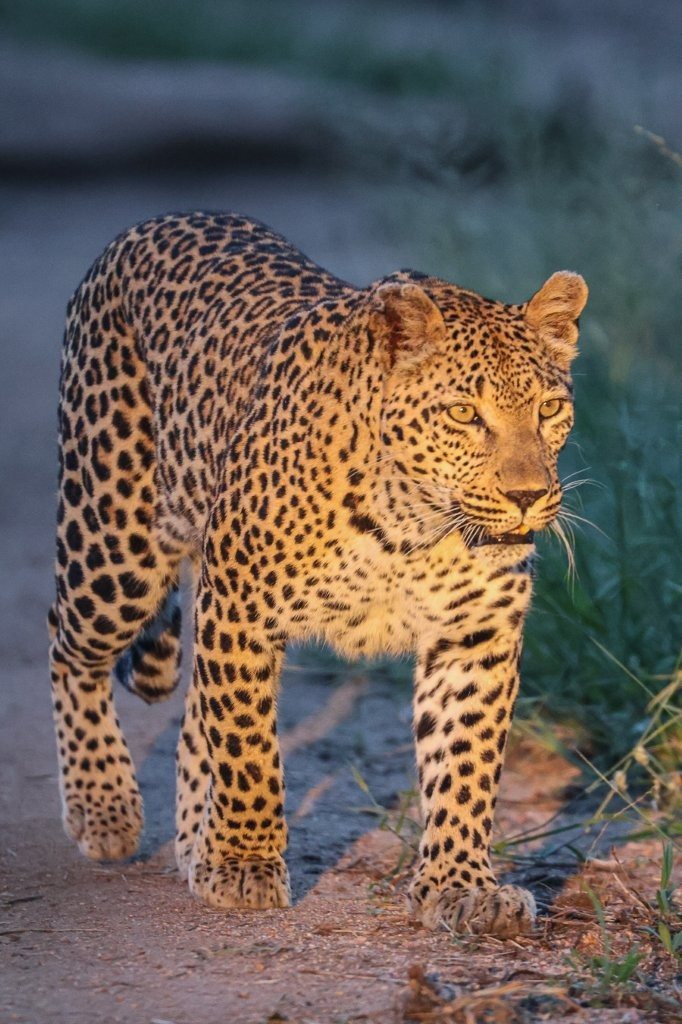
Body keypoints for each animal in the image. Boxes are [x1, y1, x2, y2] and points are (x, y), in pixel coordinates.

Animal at [48, 211, 587, 937]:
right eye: (463, 414)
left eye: (550, 410)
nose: (528, 496)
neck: (414, 525)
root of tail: (149, 225)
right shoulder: (241, 605)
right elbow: (247, 746)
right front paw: (244, 866)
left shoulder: (473, 634)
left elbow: (466, 762)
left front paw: (461, 885)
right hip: (112, 545)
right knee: (69, 645)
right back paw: (103, 805)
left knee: (191, 712)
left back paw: (192, 841)